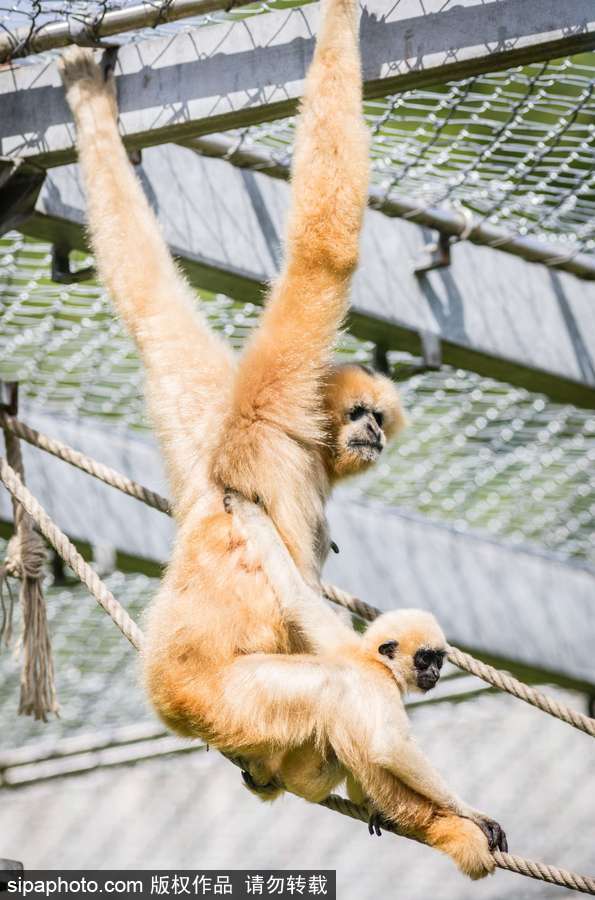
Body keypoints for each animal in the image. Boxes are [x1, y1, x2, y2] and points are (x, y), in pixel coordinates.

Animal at [59, 0, 505, 879]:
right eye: (360, 412)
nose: (370, 431)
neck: (300, 450)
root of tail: (163, 687)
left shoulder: (208, 414)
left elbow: (152, 303)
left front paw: (90, 99)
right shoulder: (273, 398)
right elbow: (322, 257)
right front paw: (339, 16)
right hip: (230, 698)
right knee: (336, 691)